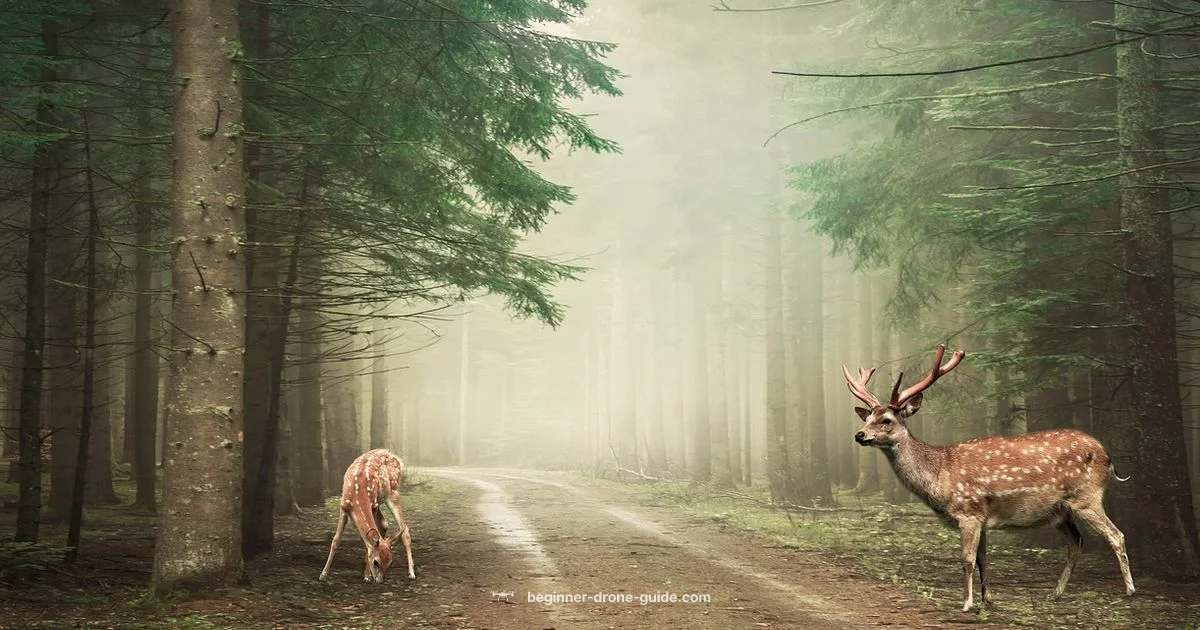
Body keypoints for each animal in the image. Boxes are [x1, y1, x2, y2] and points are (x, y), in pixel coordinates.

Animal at [319, 448, 416, 583]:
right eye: (376, 562)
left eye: (390, 563)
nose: (380, 580)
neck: (358, 496)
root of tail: (395, 457)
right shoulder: (343, 506)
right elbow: (336, 540)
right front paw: (323, 574)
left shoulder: (372, 506)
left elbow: (367, 543)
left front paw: (367, 576)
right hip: (382, 499)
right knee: (385, 524)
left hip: (393, 492)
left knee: (404, 529)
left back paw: (411, 573)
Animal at [842, 345, 1135, 612]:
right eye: (867, 417)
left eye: (887, 420)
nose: (859, 435)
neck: (940, 476)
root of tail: (1107, 455)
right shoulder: (982, 517)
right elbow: (984, 559)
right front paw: (988, 600)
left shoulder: (969, 511)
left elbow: (967, 559)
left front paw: (967, 603)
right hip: (1060, 511)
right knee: (1077, 543)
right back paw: (1055, 594)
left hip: (1087, 497)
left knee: (1116, 534)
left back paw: (1129, 591)